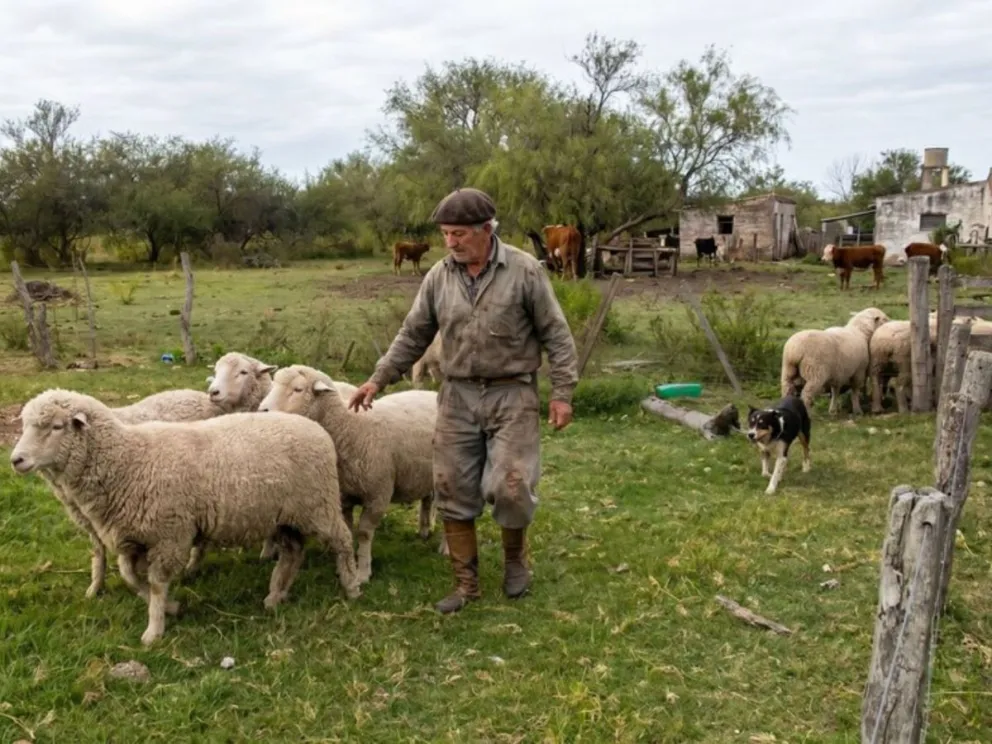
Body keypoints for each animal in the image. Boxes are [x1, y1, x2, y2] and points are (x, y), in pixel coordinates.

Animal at [9, 388, 361, 645]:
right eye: (25, 426)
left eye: (56, 427)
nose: (16, 460)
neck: (128, 459)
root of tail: (316, 429)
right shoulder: (134, 537)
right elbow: (131, 577)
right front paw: (171, 608)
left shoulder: (169, 535)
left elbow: (156, 583)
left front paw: (154, 630)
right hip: (284, 516)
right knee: (293, 552)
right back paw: (276, 595)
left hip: (318, 506)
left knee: (343, 540)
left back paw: (353, 585)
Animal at [258, 364, 443, 585]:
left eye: (298, 389)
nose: (262, 410)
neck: (349, 427)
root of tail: (431, 393)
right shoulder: (344, 497)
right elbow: (348, 529)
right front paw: (347, 568)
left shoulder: (378, 495)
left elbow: (363, 534)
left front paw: (363, 572)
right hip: (425, 475)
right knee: (427, 499)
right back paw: (424, 530)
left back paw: (445, 549)